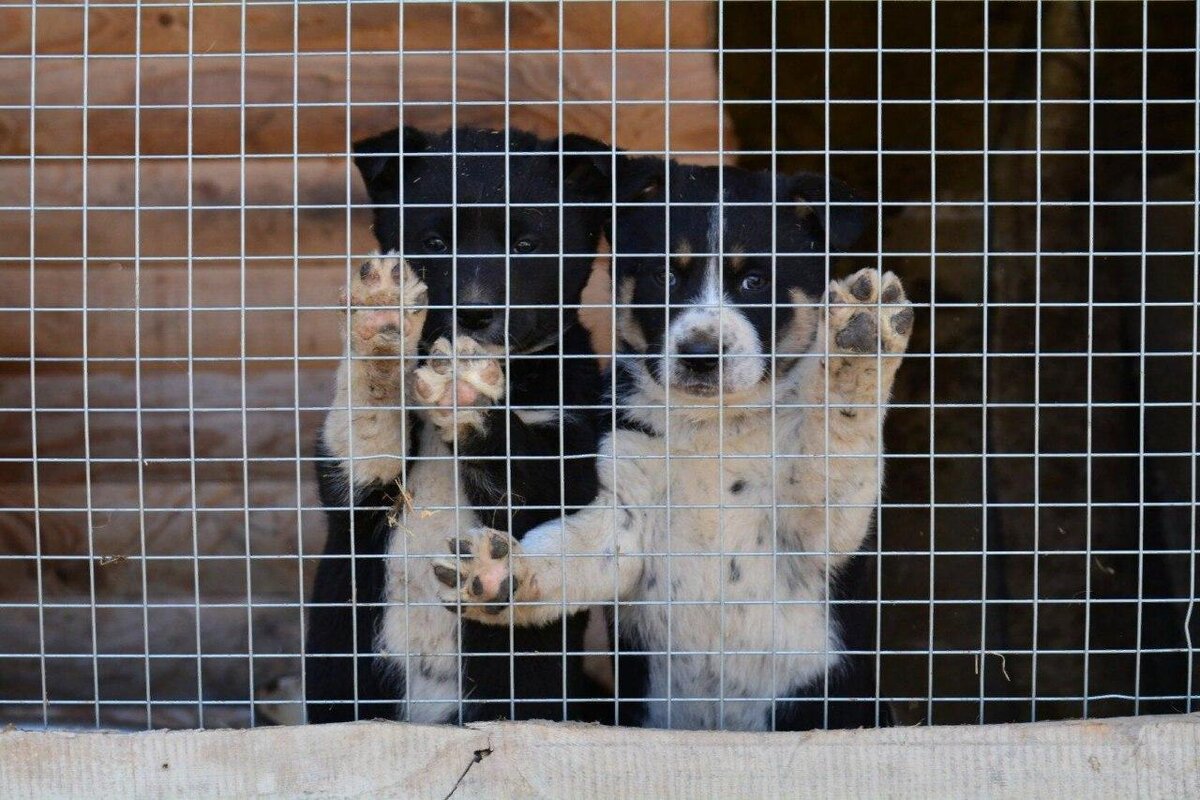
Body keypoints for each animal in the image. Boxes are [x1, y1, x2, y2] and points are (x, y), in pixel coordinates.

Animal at [304, 126, 619, 724]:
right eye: (433, 242)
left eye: (526, 245)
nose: (474, 317)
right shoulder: (360, 482)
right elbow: (369, 413)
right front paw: (382, 317)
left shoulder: (569, 465)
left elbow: (521, 458)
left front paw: (466, 388)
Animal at [436, 155, 912, 734]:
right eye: (665, 276)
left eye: (755, 280)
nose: (700, 355)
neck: (712, 427)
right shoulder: (625, 508)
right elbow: (568, 552)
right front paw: (498, 571)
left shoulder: (814, 526)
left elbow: (835, 439)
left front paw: (862, 335)